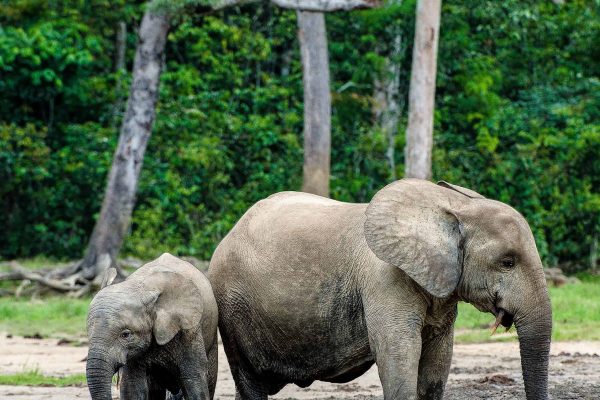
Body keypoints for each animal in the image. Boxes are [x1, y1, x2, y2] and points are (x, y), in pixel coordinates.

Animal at [209, 180, 552, 398]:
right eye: (507, 262)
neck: (454, 207)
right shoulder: (384, 279)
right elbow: (399, 355)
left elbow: (436, 366)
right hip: (232, 304)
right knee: (250, 382)